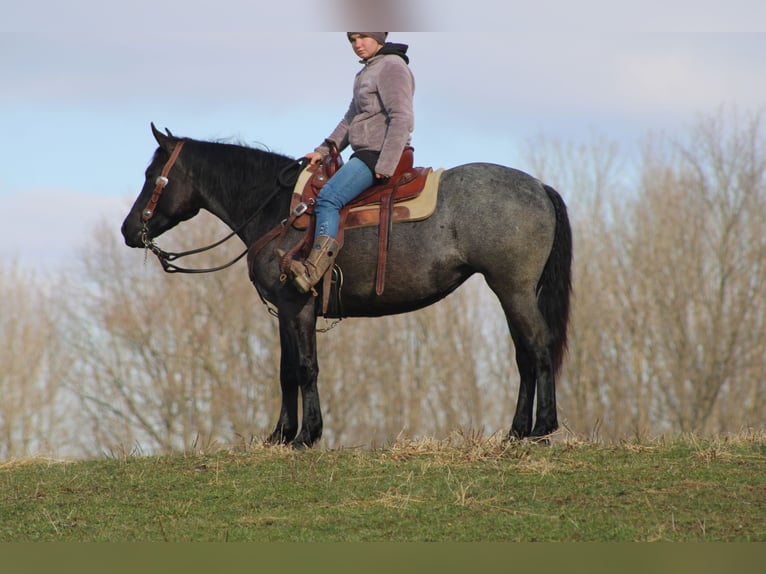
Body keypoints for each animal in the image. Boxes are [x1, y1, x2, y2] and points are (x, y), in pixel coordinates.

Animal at [121, 124, 573, 448]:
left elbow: (305, 366)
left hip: (513, 290)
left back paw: (542, 428)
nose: (128, 231)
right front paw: (280, 435)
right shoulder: (284, 311)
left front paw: (307, 435)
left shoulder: (297, 305)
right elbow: (286, 369)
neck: (278, 211)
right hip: (511, 293)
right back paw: (516, 431)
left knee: (538, 349)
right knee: (524, 356)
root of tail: (539, 187)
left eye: (152, 175)